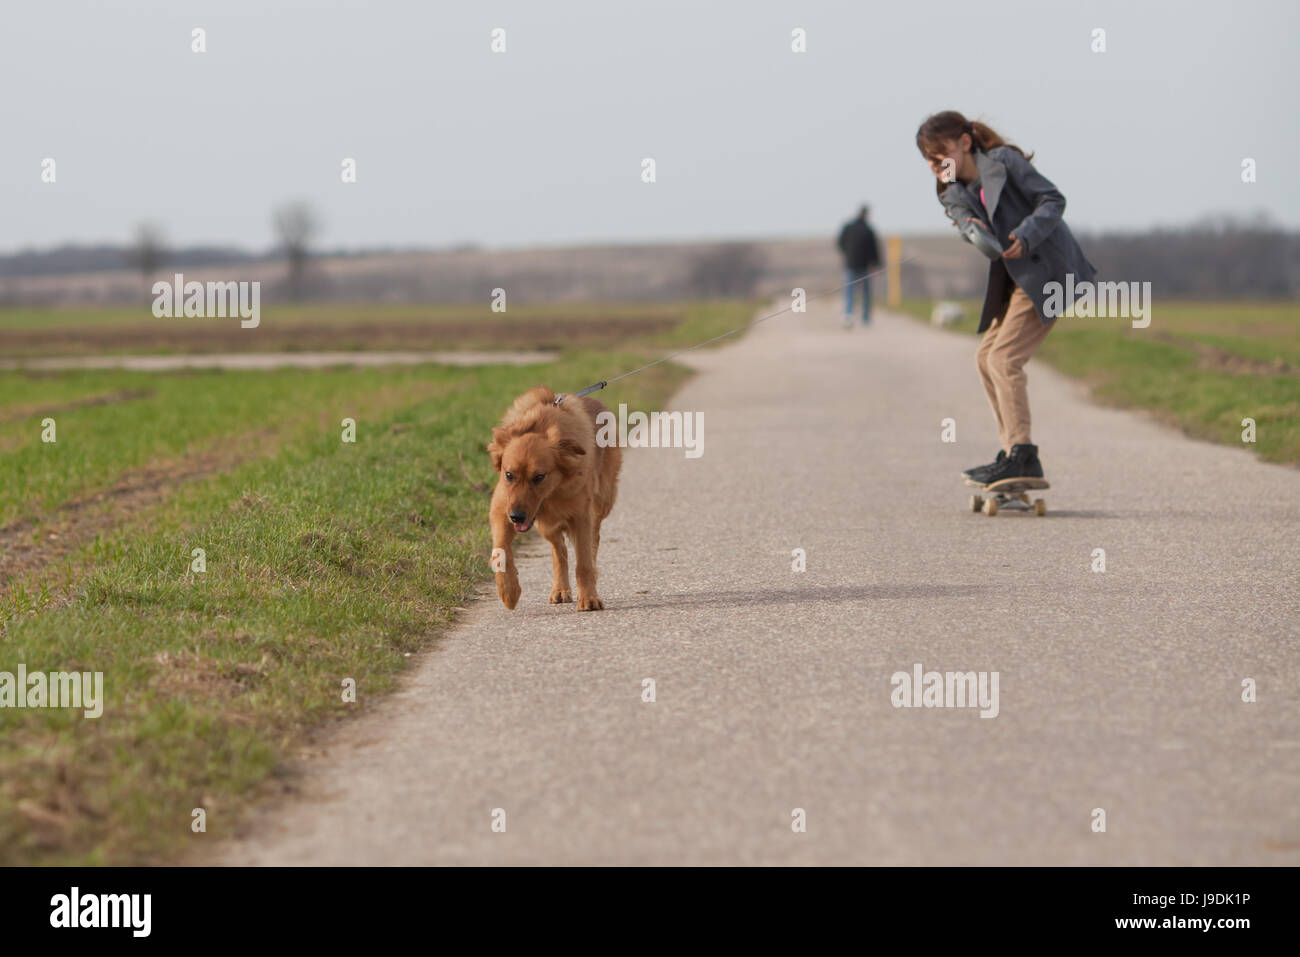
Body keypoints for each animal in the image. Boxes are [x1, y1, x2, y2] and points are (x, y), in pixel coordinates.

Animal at [491, 384, 624, 608]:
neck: (553, 494)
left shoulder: (581, 516)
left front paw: (589, 597)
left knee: (592, 542)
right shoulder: (501, 510)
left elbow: (584, 563)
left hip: (602, 502)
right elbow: (500, 551)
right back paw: (560, 589)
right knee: (559, 551)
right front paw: (509, 591)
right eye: (509, 475)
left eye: (539, 477)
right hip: (545, 526)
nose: (516, 517)